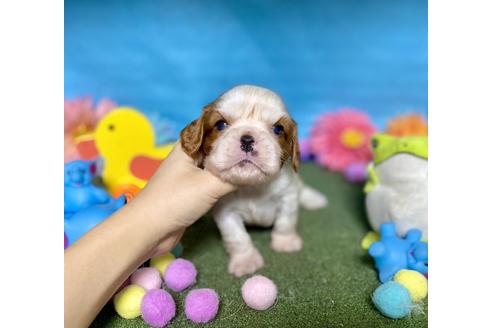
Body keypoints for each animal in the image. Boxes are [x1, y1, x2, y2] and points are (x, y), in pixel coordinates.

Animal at [181, 84, 326, 276]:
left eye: (278, 129)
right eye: (220, 124)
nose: (248, 139)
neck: (252, 187)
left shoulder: (288, 195)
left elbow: (286, 221)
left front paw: (285, 242)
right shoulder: (225, 211)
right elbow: (237, 237)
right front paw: (246, 261)